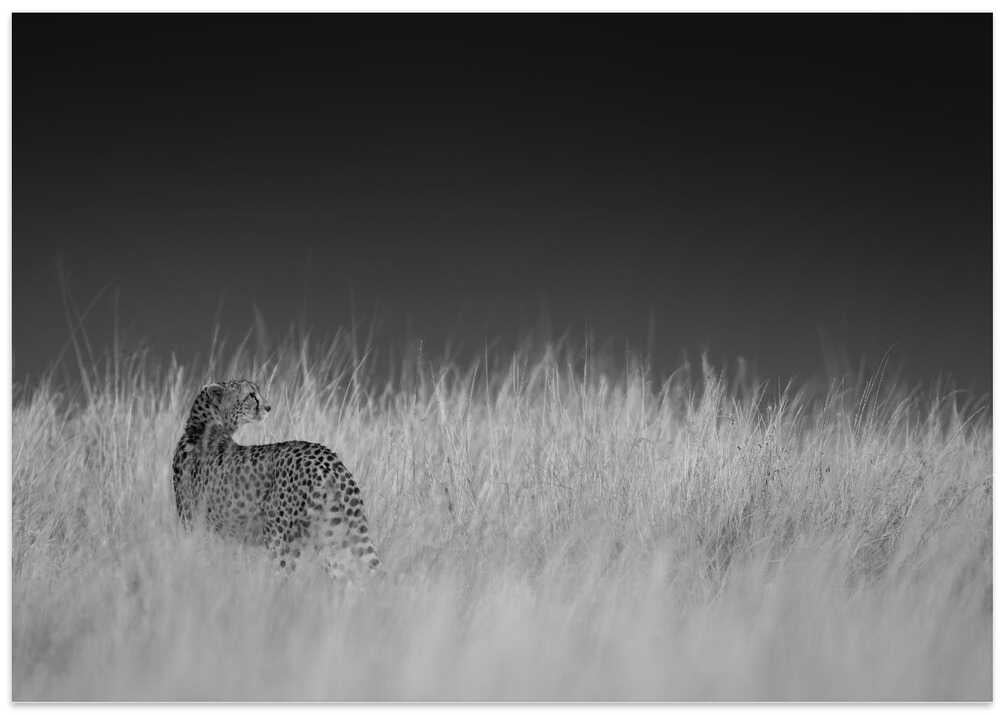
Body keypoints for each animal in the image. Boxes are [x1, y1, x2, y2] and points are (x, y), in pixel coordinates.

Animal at [171, 378, 380, 578]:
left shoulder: (197, 526)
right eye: (251, 395)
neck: (203, 426)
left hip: (280, 538)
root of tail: (327, 457)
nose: (268, 407)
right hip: (332, 535)